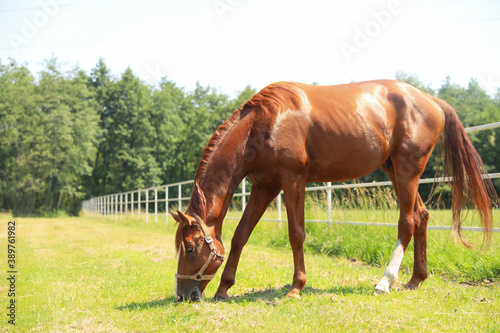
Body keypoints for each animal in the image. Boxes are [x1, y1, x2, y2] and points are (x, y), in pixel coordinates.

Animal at [172, 80, 496, 300]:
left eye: (190, 247)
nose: (183, 295)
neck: (265, 122)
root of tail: (431, 99)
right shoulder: (265, 186)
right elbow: (240, 236)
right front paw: (224, 288)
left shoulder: (293, 181)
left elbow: (296, 234)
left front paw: (296, 287)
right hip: (395, 171)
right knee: (424, 215)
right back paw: (415, 279)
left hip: (407, 171)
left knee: (409, 221)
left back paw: (385, 281)